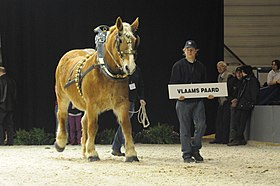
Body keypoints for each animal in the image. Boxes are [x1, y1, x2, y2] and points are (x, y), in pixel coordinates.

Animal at [54, 17, 139, 163]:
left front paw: (131, 153)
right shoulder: (92, 104)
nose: (130, 67)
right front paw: (92, 153)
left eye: (134, 40)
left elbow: (126, 126)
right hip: (62, 94)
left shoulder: (122, 104)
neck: (106, 72)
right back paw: (61, 142)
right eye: (120, 40)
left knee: (83, 121)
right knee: (62, 115)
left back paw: (84, 151)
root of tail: (68, 54)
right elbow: (93, 126)